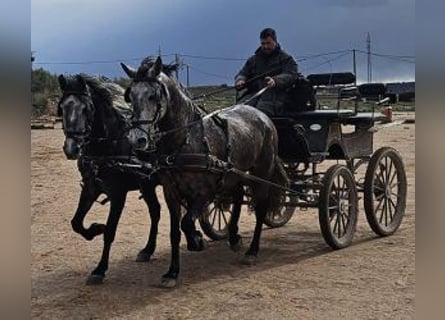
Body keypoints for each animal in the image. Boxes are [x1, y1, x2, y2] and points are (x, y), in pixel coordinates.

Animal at [57, 74, 161, 284]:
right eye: (62, 107)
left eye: (86, 108)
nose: (71, 148)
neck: (109, 146)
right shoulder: (90, 188)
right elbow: (76, 223)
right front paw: (95, 228)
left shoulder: (118, 194)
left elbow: (110, 232)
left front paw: (100, 269)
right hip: (147, 185)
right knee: (156, 211)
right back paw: (148, 250)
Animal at [121, 57, 288, 288]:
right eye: (130, 96)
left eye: (153, 96)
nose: (137, 139)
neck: (185, 139)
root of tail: (262, 115)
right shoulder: (171, 193)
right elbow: (175, 231)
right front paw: (172, 272)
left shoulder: (205, 192)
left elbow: (187, 221)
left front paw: (196, 240)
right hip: (234, 172)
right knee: (237, 197)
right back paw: (234, 237)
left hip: (262, 172)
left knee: (261, 207)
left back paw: (252, 251)